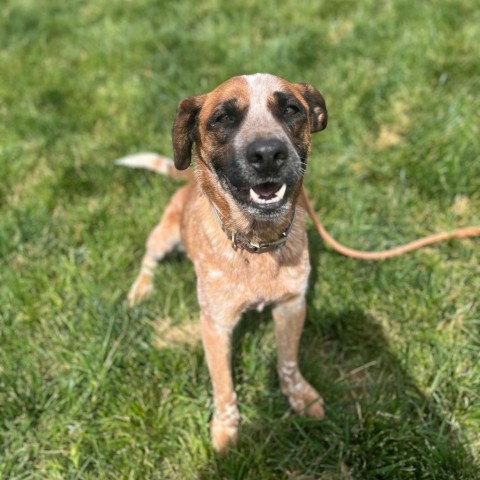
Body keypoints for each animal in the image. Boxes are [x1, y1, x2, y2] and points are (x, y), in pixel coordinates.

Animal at [122, 73, 328, 452]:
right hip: (163, 236)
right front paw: (226, 429)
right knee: (148, 258)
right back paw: (141, 290)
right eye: (223, 117)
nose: (268, 154)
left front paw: (301, 397)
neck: (257, 246)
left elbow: (288, 362)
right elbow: (223, 385)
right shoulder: (215, 324)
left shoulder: (292, 305)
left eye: (291, 109)